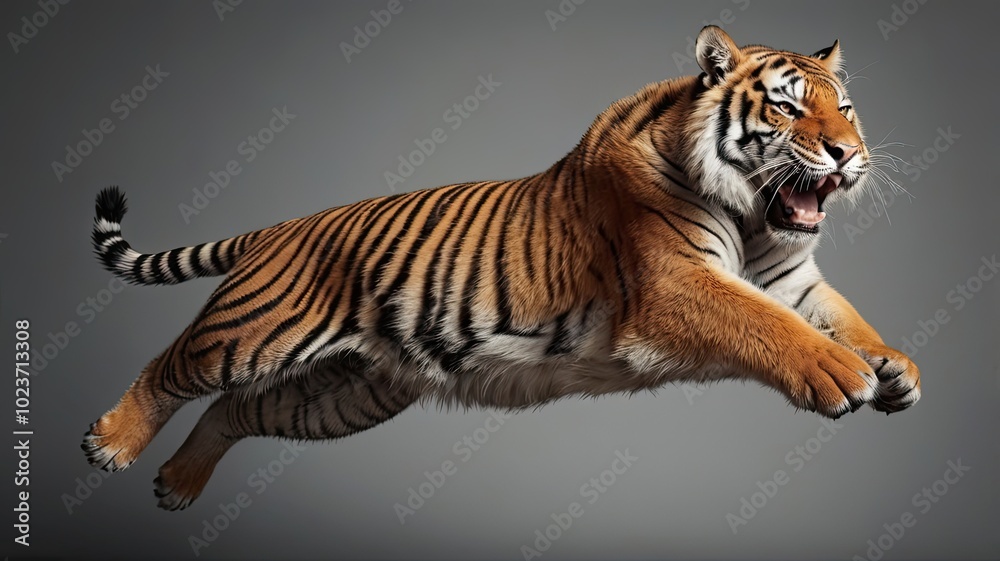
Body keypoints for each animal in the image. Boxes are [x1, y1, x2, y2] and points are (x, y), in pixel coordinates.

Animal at [83, 26, 920, 510]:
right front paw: (838, 372)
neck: (753, 218)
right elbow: (764, 323)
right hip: (253, 333)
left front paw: (895, 367)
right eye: (786, 108)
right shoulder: (677, 282)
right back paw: (112, 443)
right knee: (171, 366)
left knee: (233, 410)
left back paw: (178, 484)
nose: (849, 153)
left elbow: (841, 313)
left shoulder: (791, 278)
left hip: (343, 394)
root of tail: (282, 225)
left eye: (846, 108)